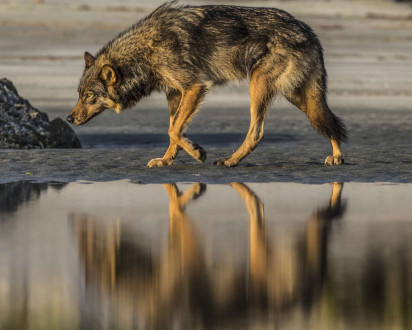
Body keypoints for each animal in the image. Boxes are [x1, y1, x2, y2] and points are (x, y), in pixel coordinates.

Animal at [67, 1, 348, 168]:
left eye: (89, 96)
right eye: (79, 94)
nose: (69, 119)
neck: (146, 52)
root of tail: (309, 32)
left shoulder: (195, 87)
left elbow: (173, 130)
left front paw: (197, 153)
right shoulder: (174, 93)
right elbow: (173, 130)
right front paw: (167, 160)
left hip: (258, 87)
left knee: (257, 132)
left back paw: (231, 160)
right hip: (297, 96)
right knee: (327, 120)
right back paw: (337, 156)